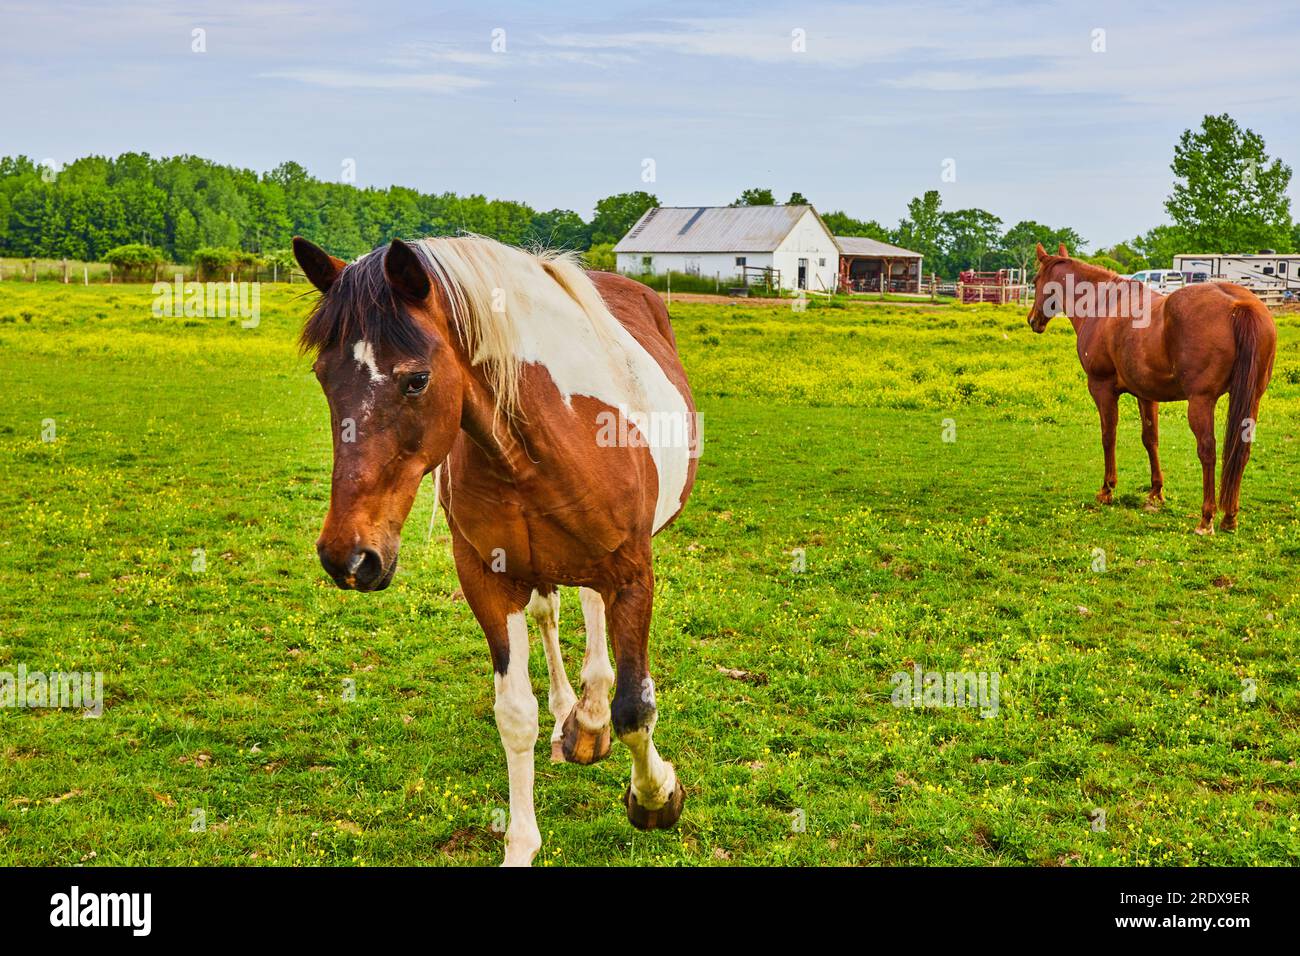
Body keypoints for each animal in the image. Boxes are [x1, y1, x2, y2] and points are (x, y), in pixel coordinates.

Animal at [292, 234, 699, 865]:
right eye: (323, 375)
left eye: (416, 380)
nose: (349, 556)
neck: (552, 436)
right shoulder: (487, 577)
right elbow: (514, 713)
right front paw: (521, 843)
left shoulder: (634, 571)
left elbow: (636, 708)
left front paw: (656, 797)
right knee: (556, 612)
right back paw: (576, 717)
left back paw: (592, 719)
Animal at [1027, 242, 1276, 533]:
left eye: (1035, 280)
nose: (1033, 320)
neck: (1103, 304)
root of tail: (1239, 304)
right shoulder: (1146, 394)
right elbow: (1150, 439)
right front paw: (1156, 492)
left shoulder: (1101, 388)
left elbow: (1108, 436)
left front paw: (1107, 489)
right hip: (1251, 398)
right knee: (1241, 449)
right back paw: (1229, 517)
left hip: (1201, 402)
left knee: (1208, 451)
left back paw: (1207, 518)